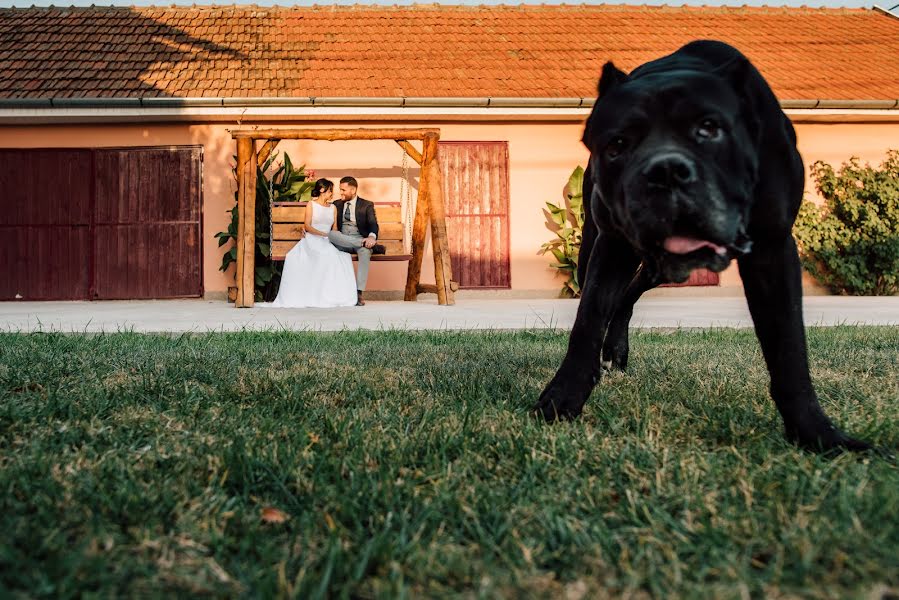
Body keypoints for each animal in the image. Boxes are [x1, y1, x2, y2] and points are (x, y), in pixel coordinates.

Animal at [536, 42, 868, 452]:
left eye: (709, 129)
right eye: (617, 144)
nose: (666, 171)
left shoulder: (772, 248)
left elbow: (789, 347)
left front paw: (817, 433)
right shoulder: (611, 244)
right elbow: (588, 321)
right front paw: (562, 399)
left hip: (658, 266)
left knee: (630, 294)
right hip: (597, 251)